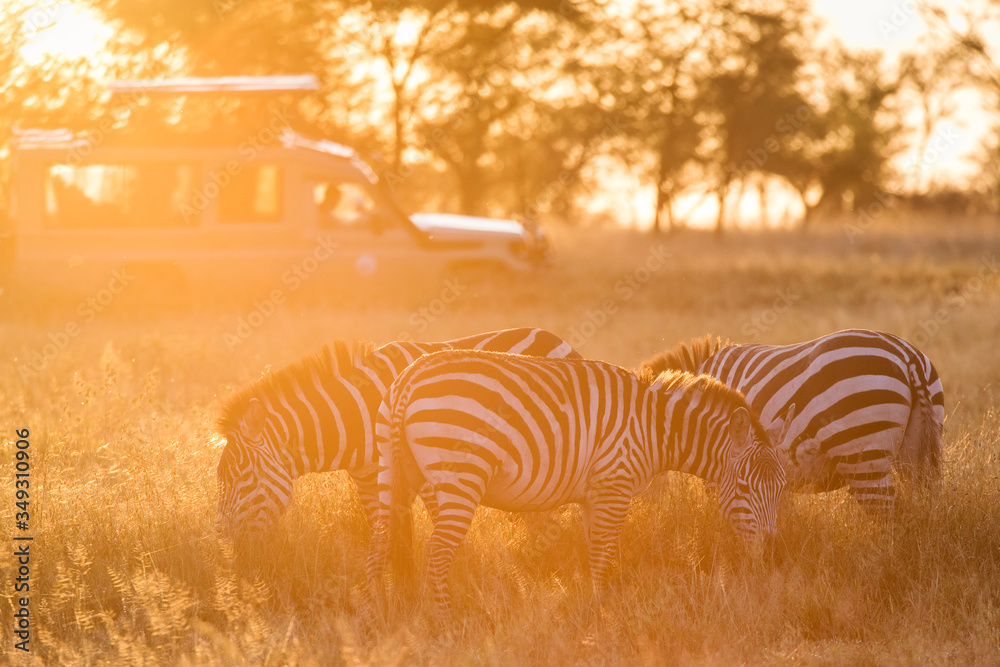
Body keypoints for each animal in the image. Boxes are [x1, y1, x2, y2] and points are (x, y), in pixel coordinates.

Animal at [215, 328, 579, 534]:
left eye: (242, 476)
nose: (225, 543)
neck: (356, 414)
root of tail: (554, 336)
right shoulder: (366, 479)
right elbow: (381, 529)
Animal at [365, 350, 789, 618]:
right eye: (745, 488)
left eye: (782, 489)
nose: (772, 555)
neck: (654, 428)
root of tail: (409, 378)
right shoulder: (614, 487)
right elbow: (603, 556)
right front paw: (601, 616)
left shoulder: (594, 495)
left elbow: (592, 554)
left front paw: (591, 607)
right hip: (459, 477)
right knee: (436, 554)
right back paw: (446, 620)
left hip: (393, 471)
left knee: (380, 544)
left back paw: (378, 614)